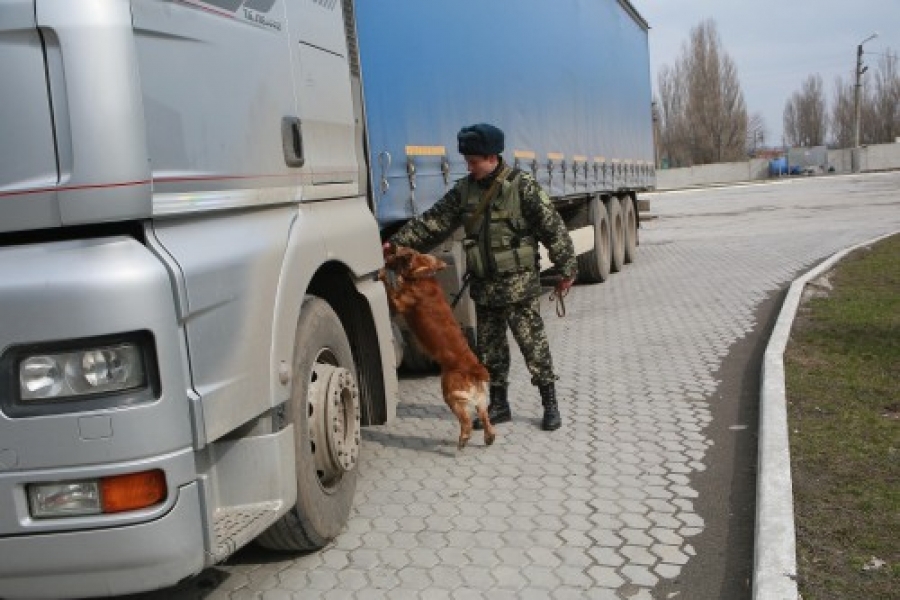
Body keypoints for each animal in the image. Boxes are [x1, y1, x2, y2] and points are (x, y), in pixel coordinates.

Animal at [378, 245, 496, 450]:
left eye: (395, 254)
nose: (387, 248)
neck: (422, 274)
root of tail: (474, 369)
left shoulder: (399, 302)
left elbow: (390, 287)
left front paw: (382, 274)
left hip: (449, 392)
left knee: (466, 421)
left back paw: (463, 439)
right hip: (478, 399)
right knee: (484, 416)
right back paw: (489, 437)